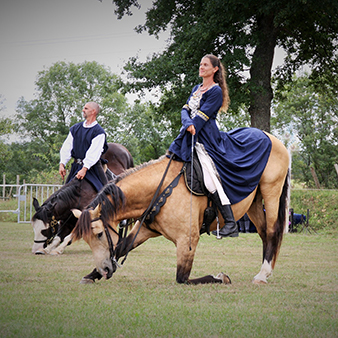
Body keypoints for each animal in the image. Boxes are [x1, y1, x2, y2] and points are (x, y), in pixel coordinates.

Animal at [72, 132, 290, 286]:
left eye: (99, 234)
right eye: (87, 239)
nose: (105, 270)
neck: (161, 189)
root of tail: (270, 137)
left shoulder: (187, 241)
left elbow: (183, 278)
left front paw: (221, 277)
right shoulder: (145, 230)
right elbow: (122, 246)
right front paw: (91, 275)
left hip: (271, 192)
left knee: (272, 231)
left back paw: (262, 274)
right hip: (254, 203)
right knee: (264, 233)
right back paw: (265, 270)